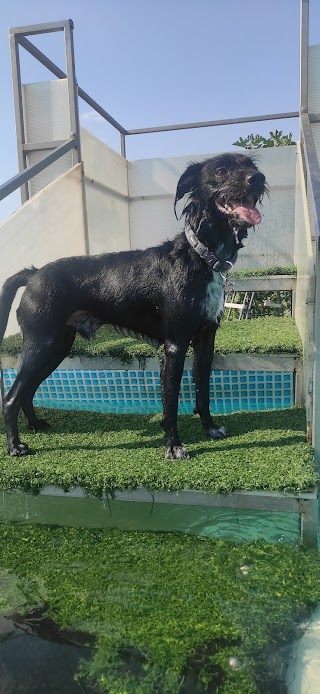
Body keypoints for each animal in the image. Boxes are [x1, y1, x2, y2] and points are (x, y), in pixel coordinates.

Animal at [0, 151, 264, 462]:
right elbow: (171, 404)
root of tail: (34, 273)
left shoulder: (205, 341)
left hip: (56, 347)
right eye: (221, 170)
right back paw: (15, 446)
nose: (259, 179)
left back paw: (36, 425)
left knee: (27, 392)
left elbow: (203, 390)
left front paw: (210, 428)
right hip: (42, 344)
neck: (199, 256)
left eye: (251, 166)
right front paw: (173, 446)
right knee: (12, 397)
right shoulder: (175, 346)